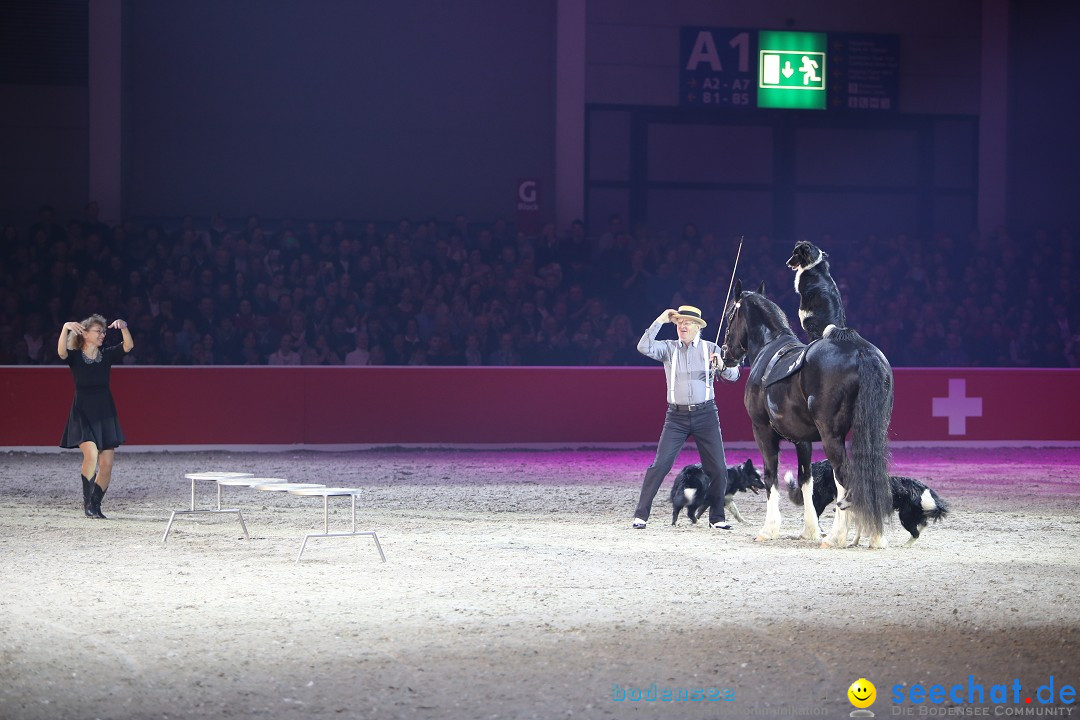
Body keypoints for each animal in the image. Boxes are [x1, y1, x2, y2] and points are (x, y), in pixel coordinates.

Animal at [717, 280, 894, 546]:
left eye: (729, 316)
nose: (725, 355)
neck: (768, 348)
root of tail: (860, 350)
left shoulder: (762, 430)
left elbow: (770, 475)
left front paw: (769, 529)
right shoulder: (802, 439)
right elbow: (806, 480)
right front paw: (810, 530)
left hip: (831, 436)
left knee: (844, 477)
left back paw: (836, 536)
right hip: (874, 430)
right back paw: (875, 537)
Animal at [786, 462, 954, 546]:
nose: (837, 506)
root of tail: (924, 490)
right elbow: (858, 530)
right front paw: (854, 542)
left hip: (905, 516)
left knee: (916, 532)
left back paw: (906, 544)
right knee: (923, 525)